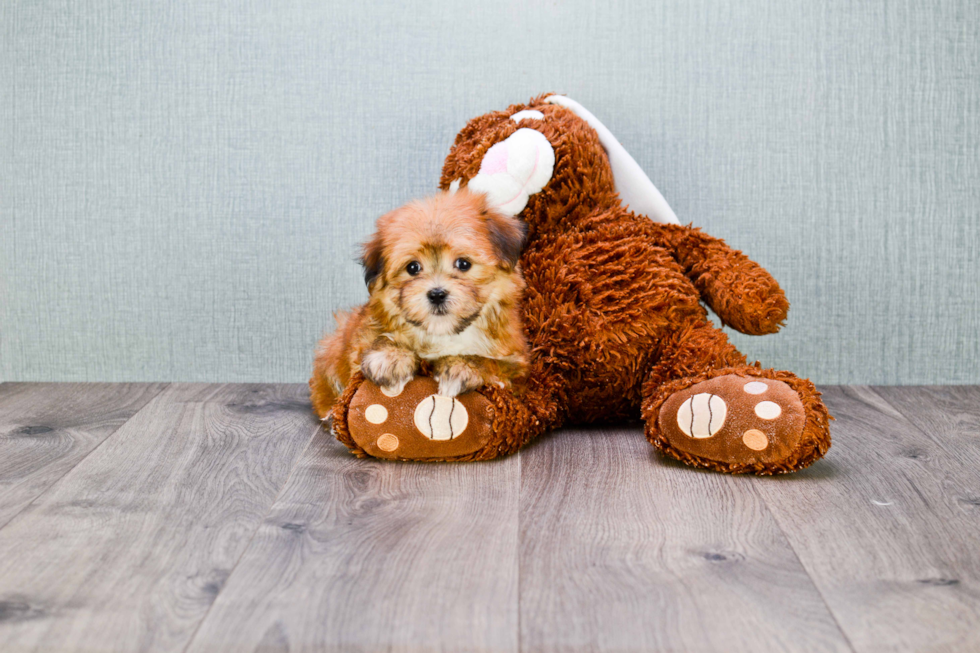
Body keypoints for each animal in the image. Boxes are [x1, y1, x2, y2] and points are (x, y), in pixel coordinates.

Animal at [312, 188, 528, 416]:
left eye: (463, 264)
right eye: (413, 267)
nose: (437, 294)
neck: (442, 333)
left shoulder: (518, 364)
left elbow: (492, 363)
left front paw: (462, 367)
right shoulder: (363, 336)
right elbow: (378, 339)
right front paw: (390, 358)